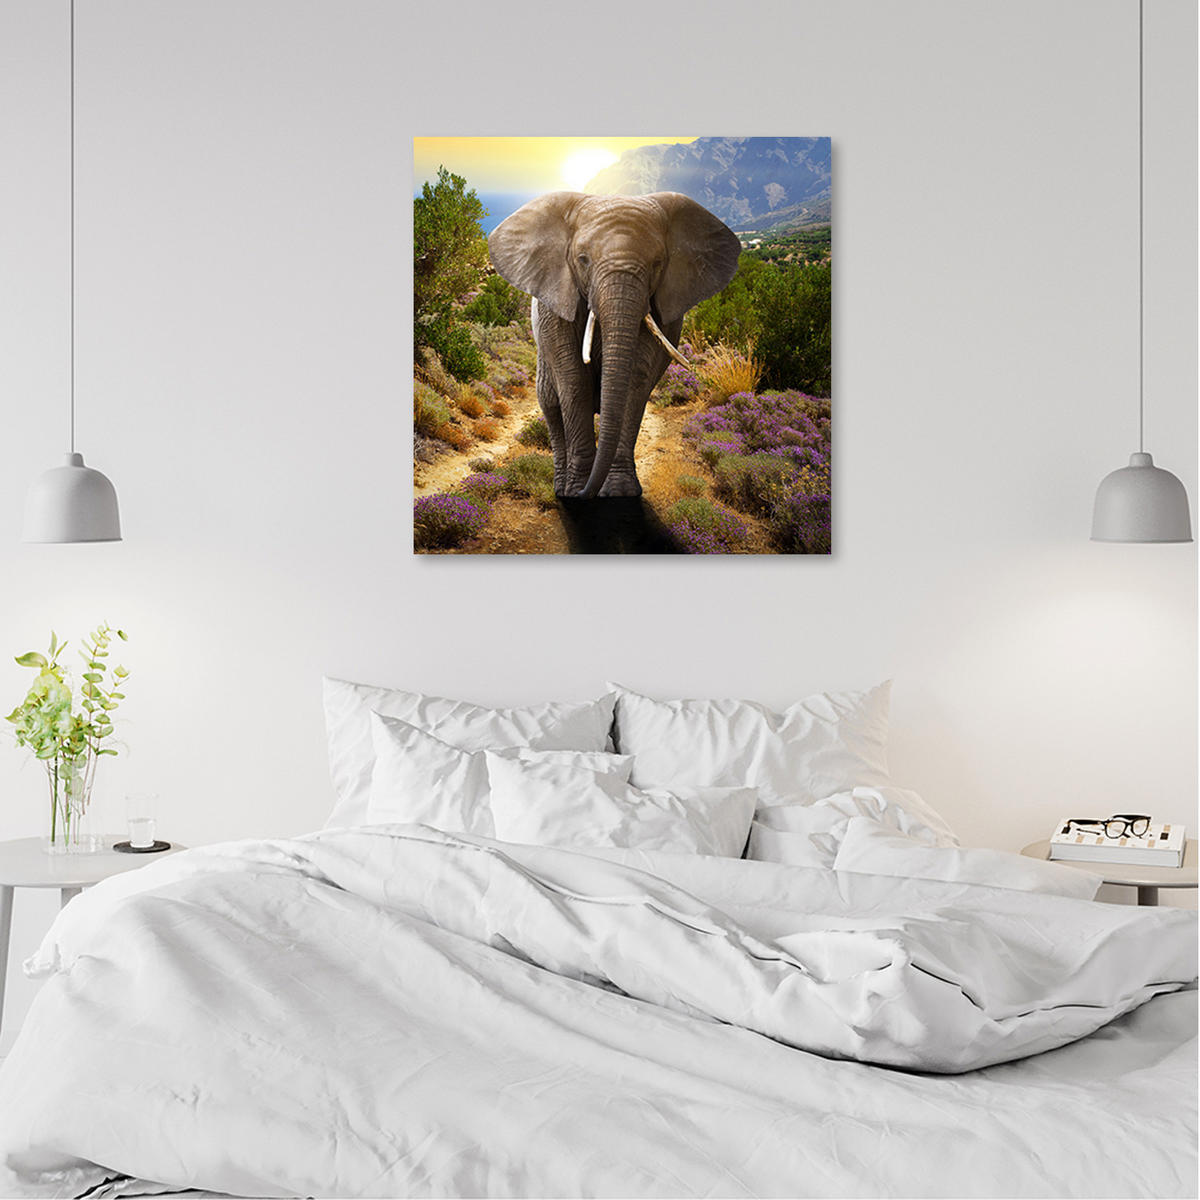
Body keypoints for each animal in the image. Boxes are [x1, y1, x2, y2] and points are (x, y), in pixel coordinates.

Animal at [488, 192, 740, 498]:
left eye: (658, 263)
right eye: (583, 259)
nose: (586, 494)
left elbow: (635, 380)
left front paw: (620, 492)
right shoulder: (556, 303)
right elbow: (574, 381)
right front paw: (577, 491)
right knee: (551, 404)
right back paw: (561, 488)